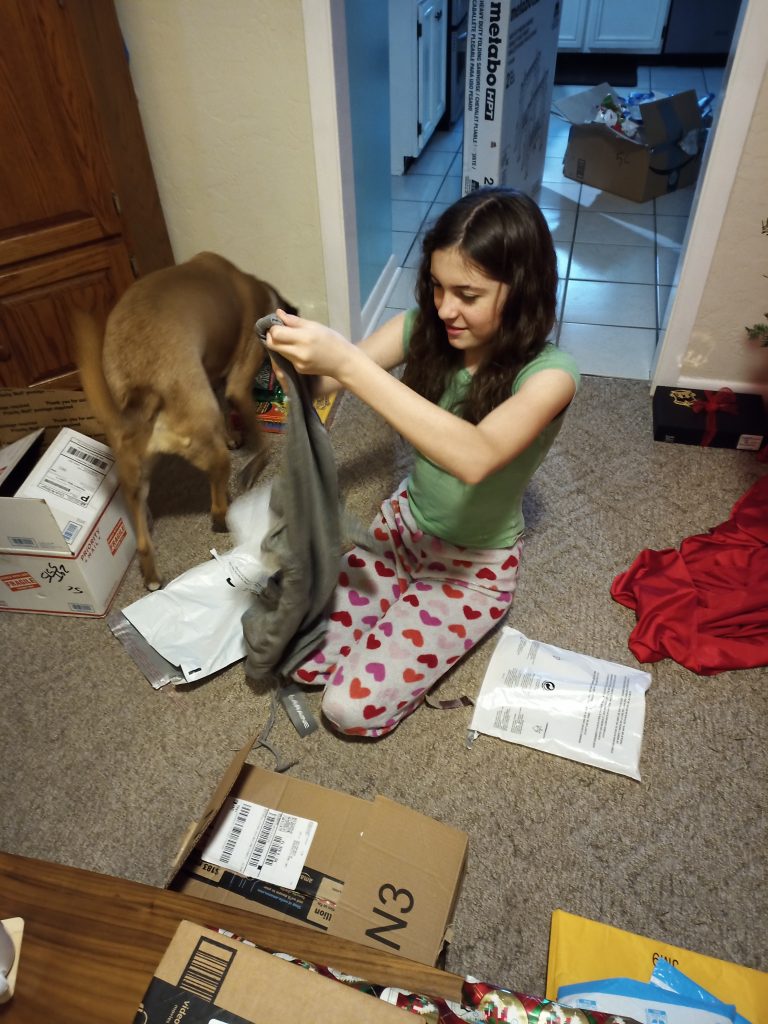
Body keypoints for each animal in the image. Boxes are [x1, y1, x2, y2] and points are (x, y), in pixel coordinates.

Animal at [74, 251, 297, 591]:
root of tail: (144, 392)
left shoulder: (215, 375)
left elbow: (226, 410)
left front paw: (234, 436)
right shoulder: (238, 380)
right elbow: (257, 436)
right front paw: (256, 458)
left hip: (133, 475)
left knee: (142, 539)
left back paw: (152, 575)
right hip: (209, 450)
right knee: (216, 503)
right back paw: (224, 511)